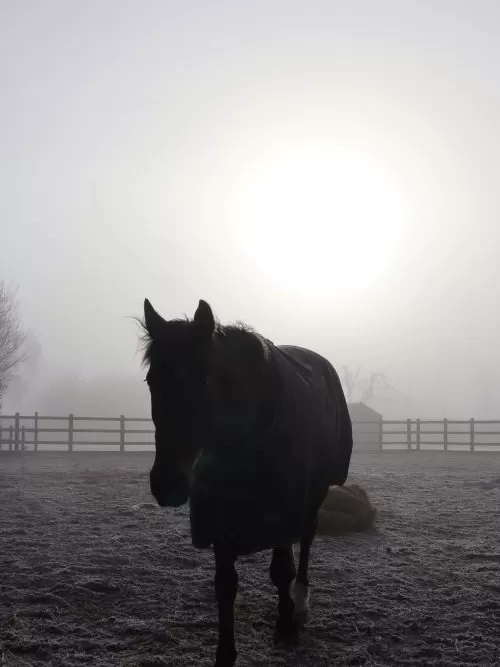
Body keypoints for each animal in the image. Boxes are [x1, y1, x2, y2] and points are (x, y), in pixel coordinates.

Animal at [139, 298, 354, 667]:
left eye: (205, 381)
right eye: (153, 381)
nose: (166, 484)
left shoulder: (282, 511)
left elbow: (281, 569)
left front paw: (285, 623)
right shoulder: (219, 518)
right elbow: (225, 585)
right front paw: (225, 653)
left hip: (317, 491)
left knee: (307, 537)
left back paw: (300, 600)